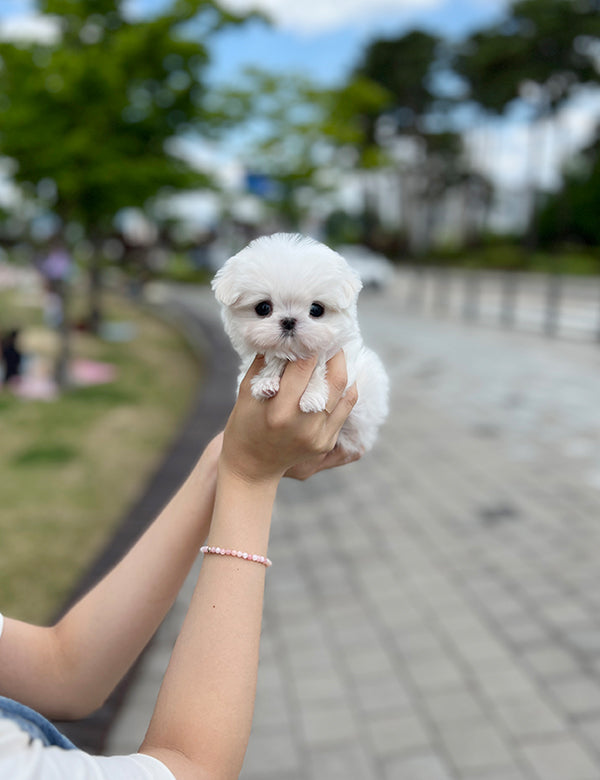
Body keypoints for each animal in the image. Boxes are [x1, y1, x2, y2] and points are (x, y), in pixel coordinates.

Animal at [211, 232, 390, 454]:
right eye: (263, 308)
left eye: (316, 309)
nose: (289, 321)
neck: (291, 355)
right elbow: (269, 362)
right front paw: (265, 383)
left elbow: (320, 366)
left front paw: (311, 396)